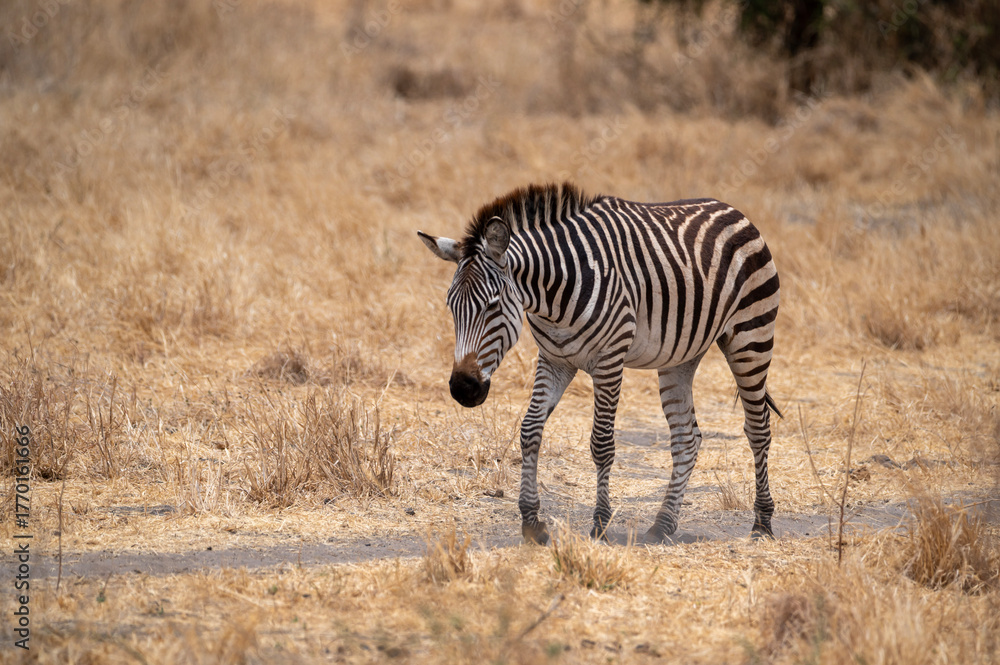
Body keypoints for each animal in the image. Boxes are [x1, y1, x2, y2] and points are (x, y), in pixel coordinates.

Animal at [418, 182, 781, 545]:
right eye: (451, 307)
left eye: (492, 306)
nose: (463, 388)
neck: (553, 297)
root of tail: (731, 210)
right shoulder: (554, 360)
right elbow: (530, 429)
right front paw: (532, 521)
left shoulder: (610, 358)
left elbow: (602, 444)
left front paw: (601, 524)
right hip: (681, 355)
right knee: (686, 438)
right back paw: (662, 525)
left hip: (751, 338)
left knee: (758, 428)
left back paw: (762, 523)